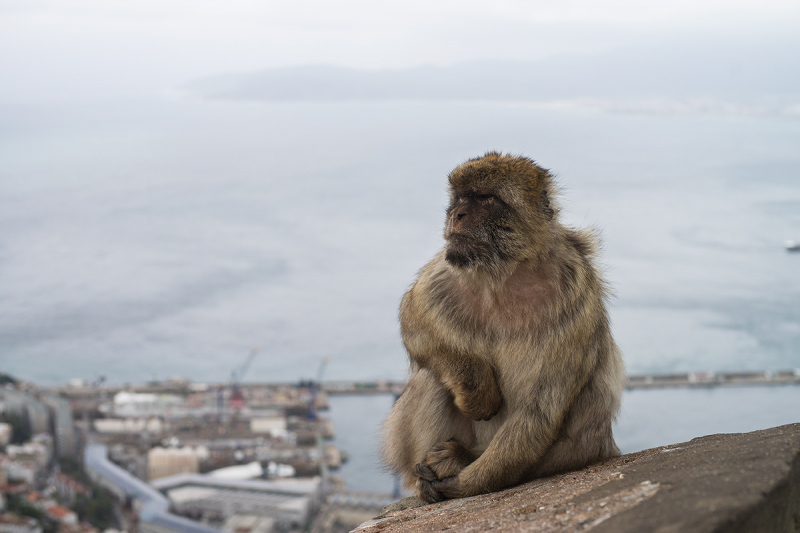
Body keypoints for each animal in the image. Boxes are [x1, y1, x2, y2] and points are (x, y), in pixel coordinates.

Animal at [382, 151, 624, 502]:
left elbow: (540, 407)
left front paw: (465, 485)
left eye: (486, 198)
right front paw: (479, 390)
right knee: (433, 378)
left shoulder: (575, 294)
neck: (504, 273)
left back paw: (461, 462)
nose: (457, 214)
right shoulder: (446, 265)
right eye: (461, 197)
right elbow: (415, 318)